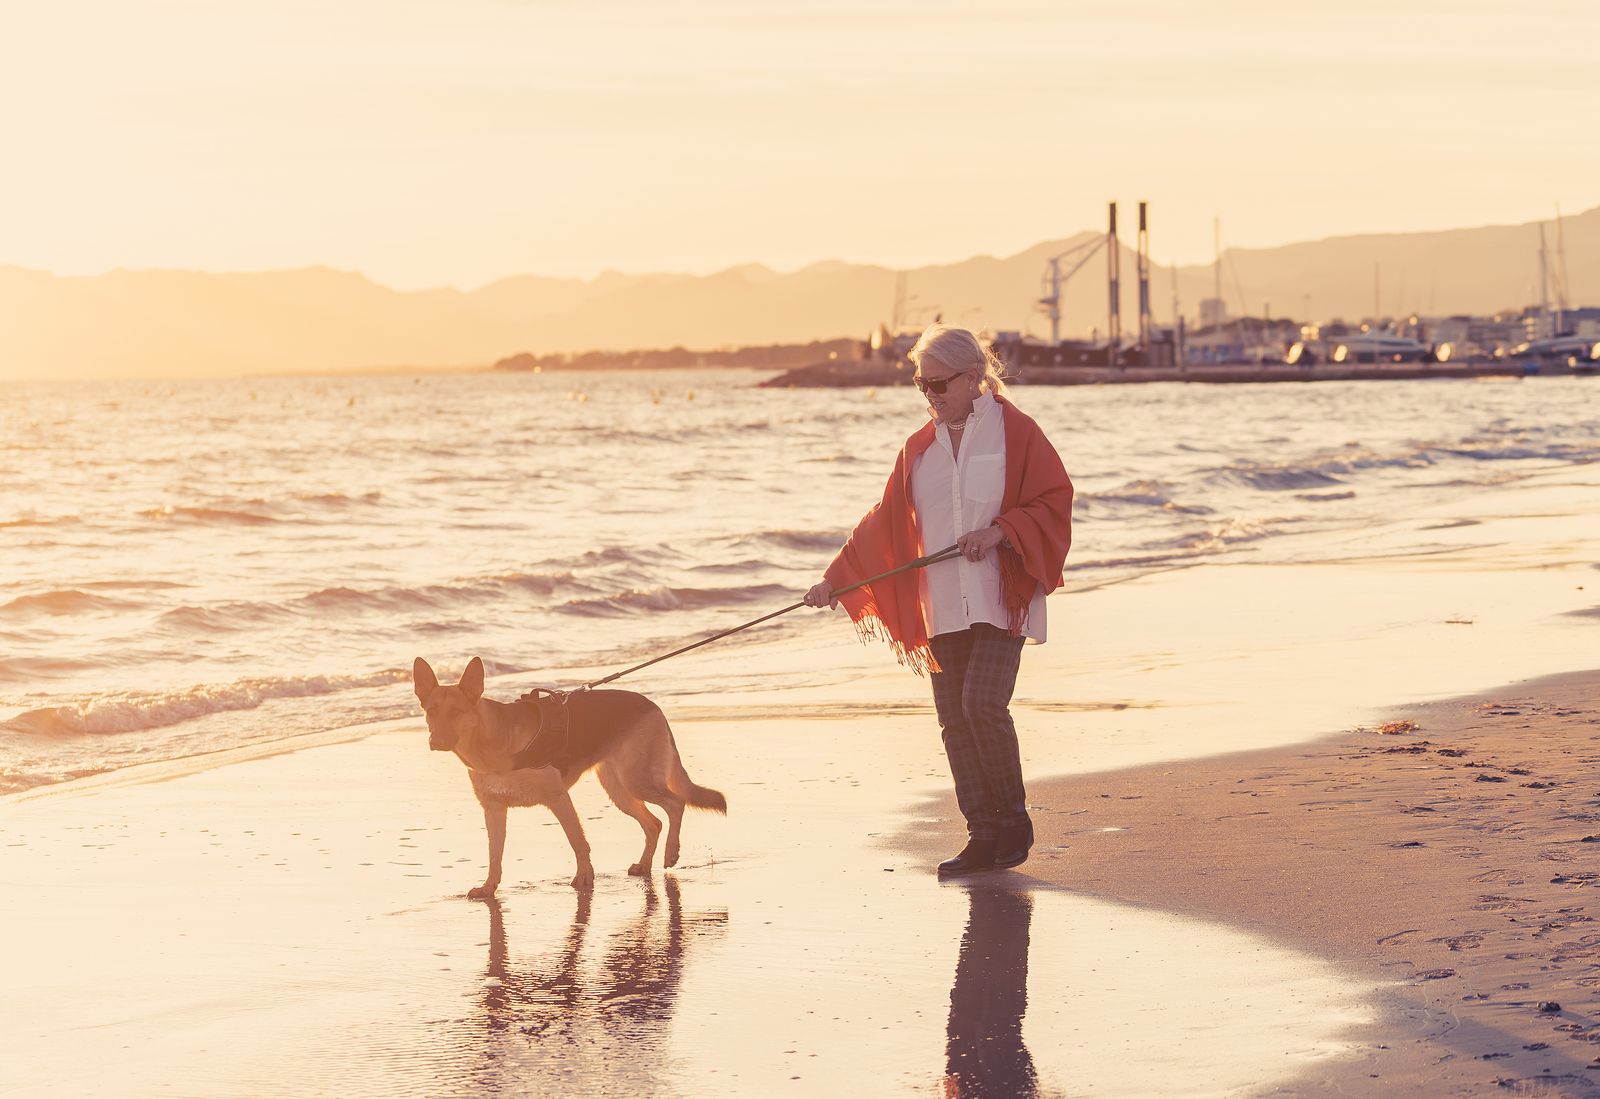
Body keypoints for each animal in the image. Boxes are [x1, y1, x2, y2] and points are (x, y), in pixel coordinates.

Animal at [412, 659, 726, 895]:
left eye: (456, 711)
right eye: (432, 712)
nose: (436, 741)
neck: (493, 741)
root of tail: (652, 705)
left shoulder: (558, 799)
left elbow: (578, 841)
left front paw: (585, 878)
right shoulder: (494, 810)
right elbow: (494, 855)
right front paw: (489, 887)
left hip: (637, 780)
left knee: (675, 804)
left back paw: (671, 852)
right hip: (619, 790)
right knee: (653, 823)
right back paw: (644, 865)